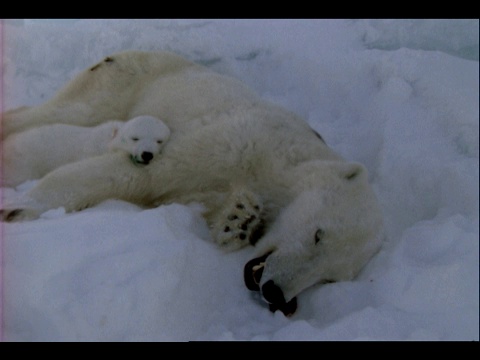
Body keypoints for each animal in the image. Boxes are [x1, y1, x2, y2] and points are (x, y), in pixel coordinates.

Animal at [0, 50, 382, 316]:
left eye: (331, 277)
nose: (275, 294)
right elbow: (143, 173)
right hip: (127, 79)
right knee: (63, 111)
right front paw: (20, 207)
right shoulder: (239, 142)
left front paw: (240, 219)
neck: (280, 164)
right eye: (318, 235)